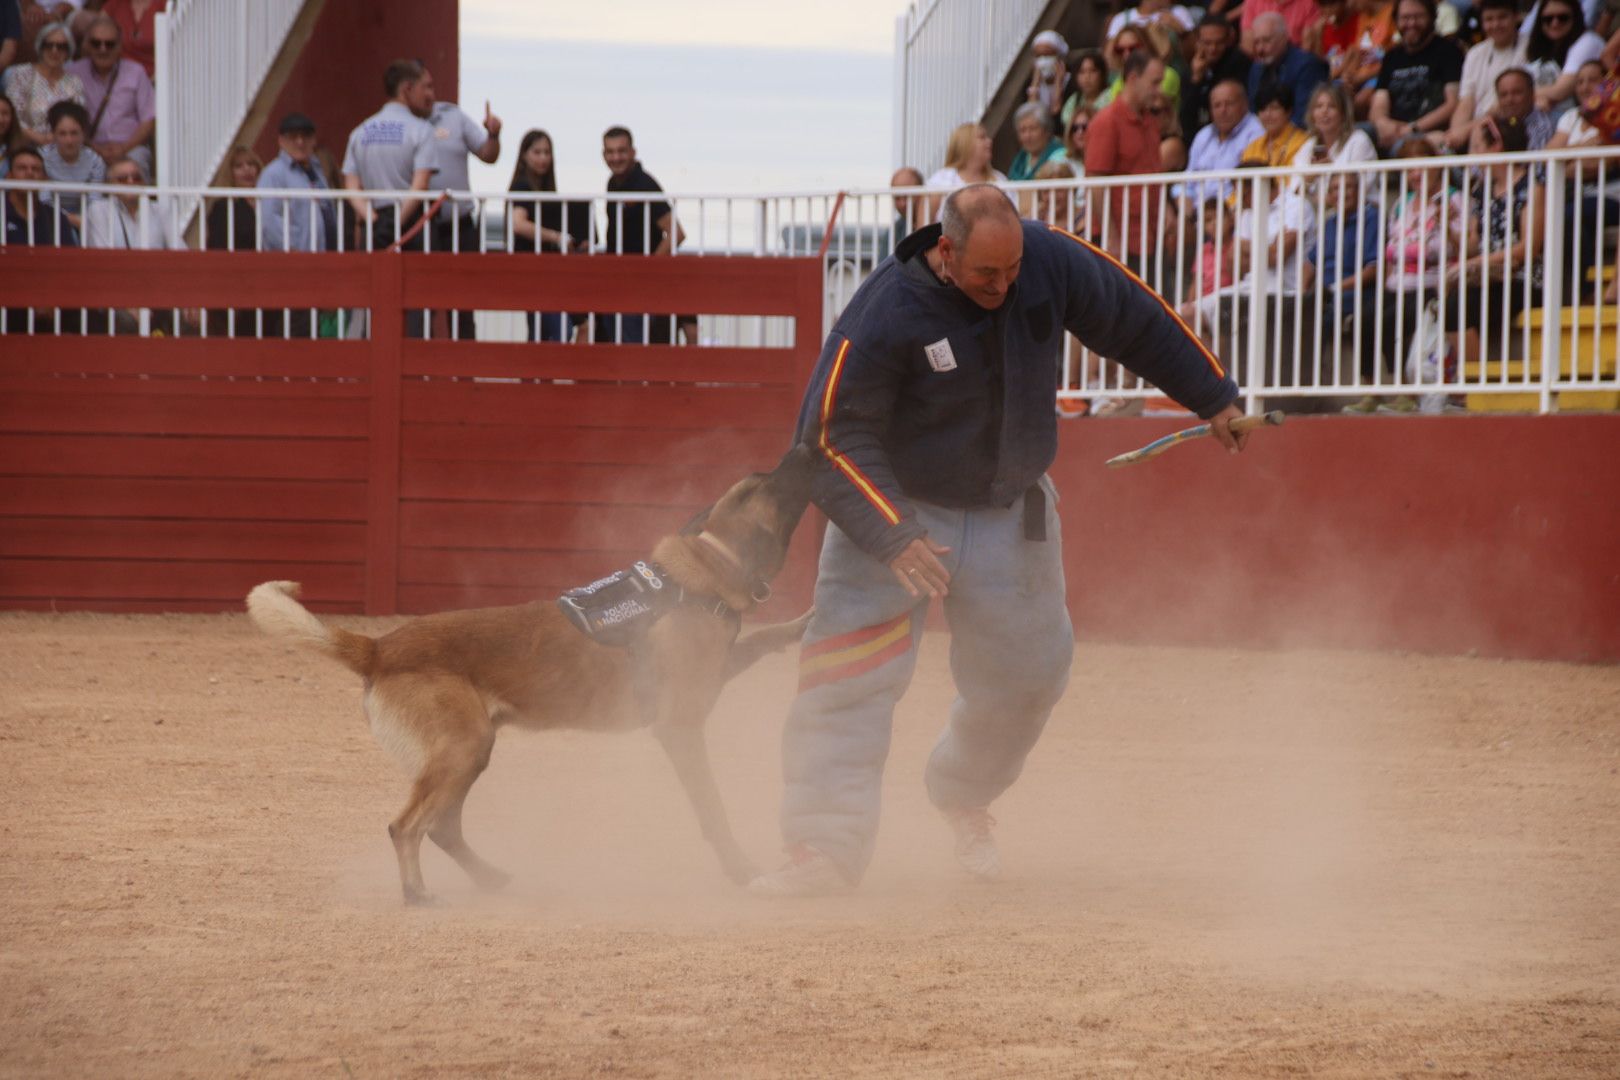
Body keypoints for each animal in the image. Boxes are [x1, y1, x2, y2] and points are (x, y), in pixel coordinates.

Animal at [244, 446, 816, 906]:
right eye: (766, 482)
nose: (806, 446)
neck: (701, 573)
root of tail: (379, 647)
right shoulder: (680, 728)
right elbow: (714, 810)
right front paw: (740, 869)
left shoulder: (718, 671)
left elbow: (763, 638)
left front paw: (802, 623)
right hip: (461, 750)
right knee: (405, 826)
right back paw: (417, 893)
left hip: (471, 753)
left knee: (442, 828)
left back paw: (489, 878)